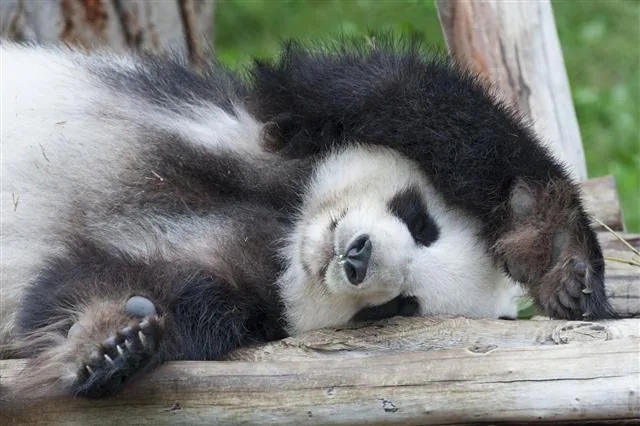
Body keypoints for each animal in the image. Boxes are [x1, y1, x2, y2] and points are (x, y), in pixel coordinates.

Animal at [0, 37, 615, 399]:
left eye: (397, 307)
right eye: (421, 223)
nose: (357, 258)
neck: (285, 231)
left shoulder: (247, 295)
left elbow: (97, 284)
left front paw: (111, 341)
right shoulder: (280, 124)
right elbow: (411, 99)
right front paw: (561, 257)